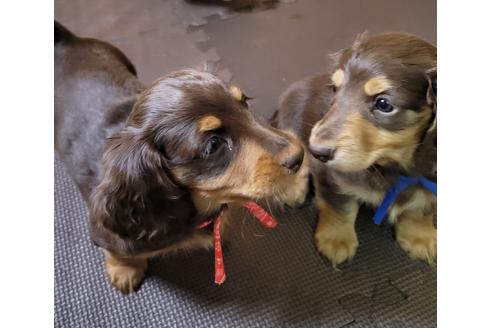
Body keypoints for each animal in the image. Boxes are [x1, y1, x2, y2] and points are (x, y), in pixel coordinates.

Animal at [54, 21, 308, 294]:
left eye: (245, 104)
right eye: (214, 144)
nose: (299, 156)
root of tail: (66, 41)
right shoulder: (107, 233)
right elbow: (118, 253)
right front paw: (124, 270)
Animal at [274, 31, 436, 266]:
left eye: (384, 104)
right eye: (335, 89)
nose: (317, 151)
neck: (393, 165)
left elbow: (421, 208)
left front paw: (420, 236)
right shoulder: (331, 176)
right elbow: (339, 206)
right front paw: (336, 239)